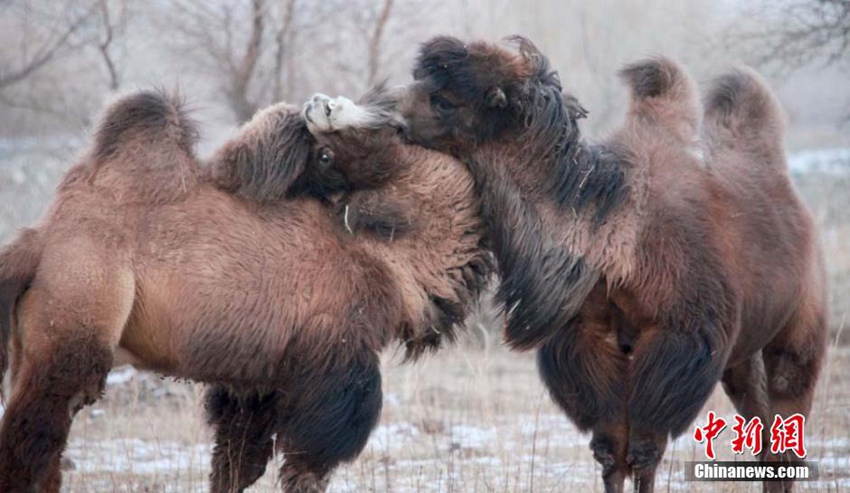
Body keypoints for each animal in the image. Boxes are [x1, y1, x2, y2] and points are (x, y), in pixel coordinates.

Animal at [0, 89, 486, 492]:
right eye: (327, 151)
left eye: (394, 128)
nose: (321, 103)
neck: (389, 257)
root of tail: (38, 241)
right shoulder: (336, 358)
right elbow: (309, 462)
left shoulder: (262, 377)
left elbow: (235, 463)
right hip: (77, 317)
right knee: (33, 441)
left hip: (35, 343)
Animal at [394, 35, 824, 492]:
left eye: (444, 99)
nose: (394, 123)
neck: (620, 244)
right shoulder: (589, 341)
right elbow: (611, 451)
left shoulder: (677, 342)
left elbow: (644, 451)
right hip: (742, 358)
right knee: (765, 433)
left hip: (797, 337)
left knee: (787, 408)